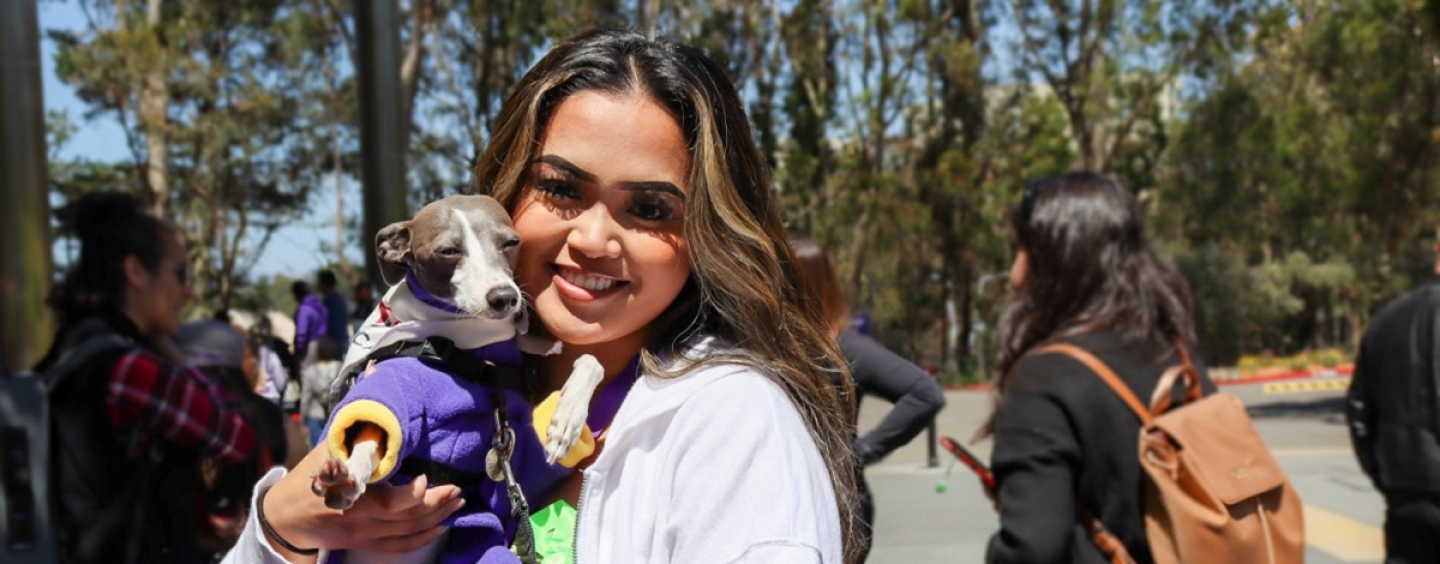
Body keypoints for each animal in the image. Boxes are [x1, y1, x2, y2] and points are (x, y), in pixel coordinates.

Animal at [312, 194, 604, 564]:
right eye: (448, 251)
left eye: (511, 242)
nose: (505, 298)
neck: (473, 351)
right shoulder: (400, 381)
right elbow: (373, 426)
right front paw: (348, 476)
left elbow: (590, 360)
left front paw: (566, 422)